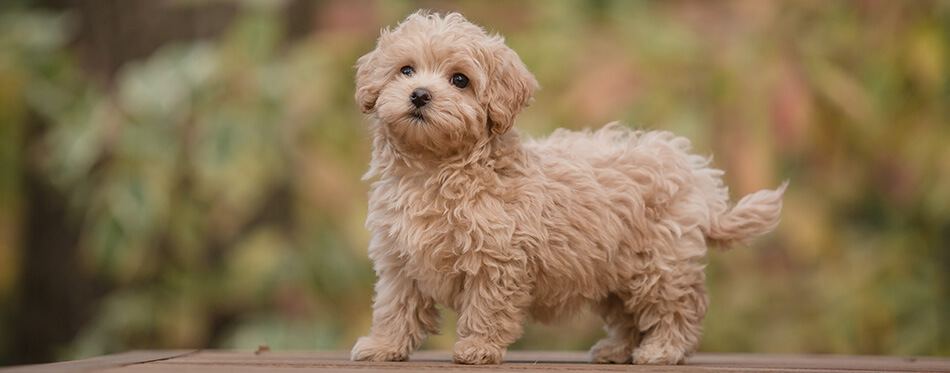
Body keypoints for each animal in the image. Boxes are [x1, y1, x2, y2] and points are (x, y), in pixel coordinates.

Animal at [350, 10, 788, 364]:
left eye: (460, 80)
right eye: (406, 70)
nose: (420, 94)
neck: (434, 170)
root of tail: (693, 172)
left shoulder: (497, 259)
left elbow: (487, 307)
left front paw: (478, 347)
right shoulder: (400, 259)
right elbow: (395, 307)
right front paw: (383, 346)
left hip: (659, 263)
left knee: (676, 308)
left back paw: (663, 351)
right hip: (613, 271)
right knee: (628, 316)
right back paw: (616, 351)